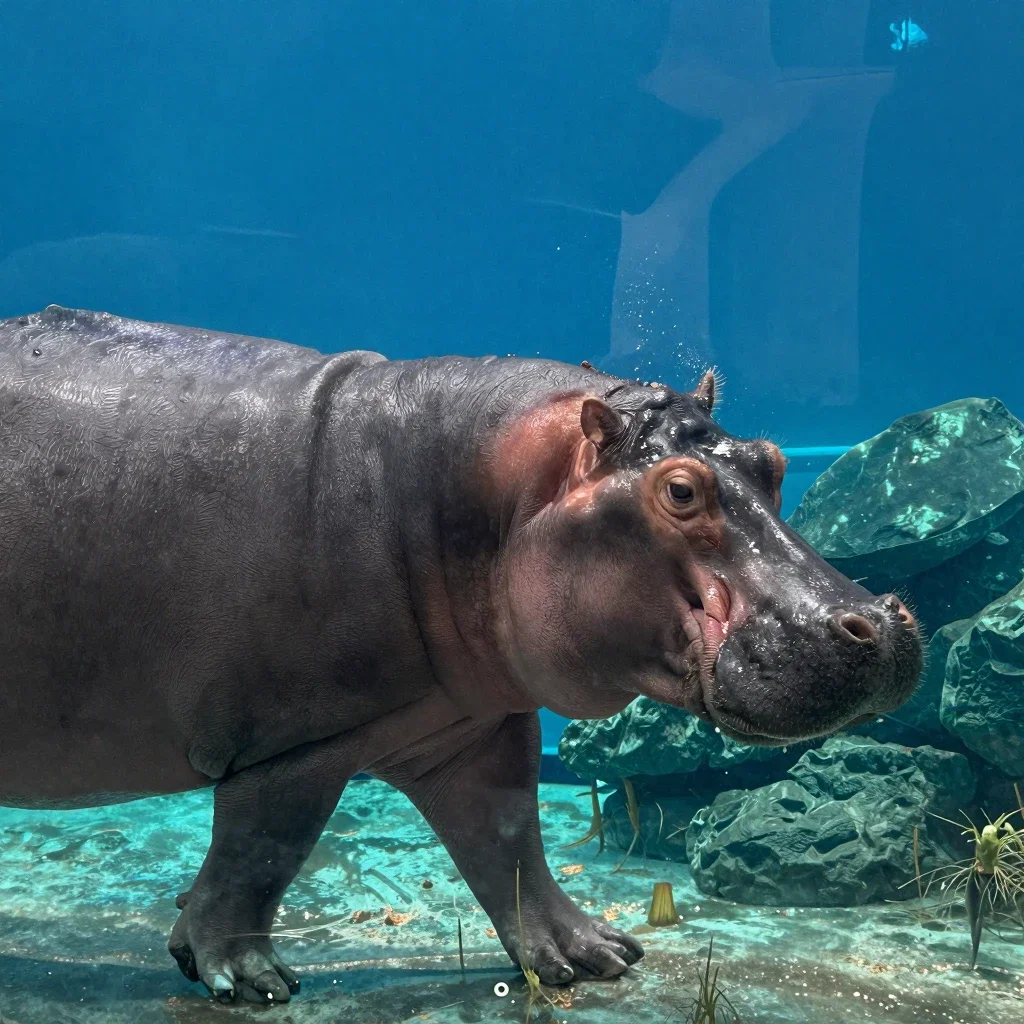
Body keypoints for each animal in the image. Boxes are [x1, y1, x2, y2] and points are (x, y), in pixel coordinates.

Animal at [0, 306, 922, 1004]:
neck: (478, 487)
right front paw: (250, 980)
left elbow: (511, 845)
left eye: (772, 461)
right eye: (681, 491)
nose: (876, 622)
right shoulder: (296, 744)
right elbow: (260, 856)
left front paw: (595, 955)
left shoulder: (475, 718)